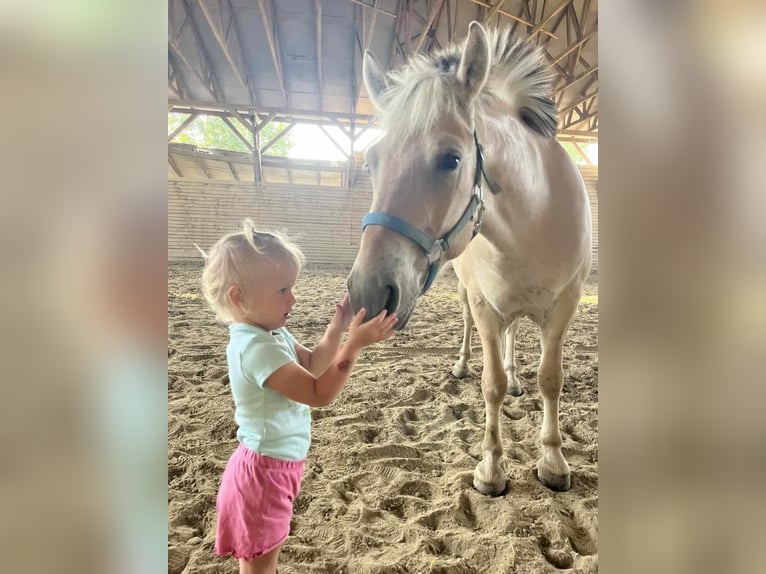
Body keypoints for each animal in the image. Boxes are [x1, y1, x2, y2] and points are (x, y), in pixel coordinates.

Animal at [347, 22, 592, 496]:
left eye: (451, 159)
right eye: (371, 161)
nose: (369, 292)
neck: (530, 220)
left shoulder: (564, 306)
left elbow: (550, 379)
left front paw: (553, 461)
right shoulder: (484, 306)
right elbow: (490, 383)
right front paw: (491, 468)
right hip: (467, 295)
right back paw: (463, 366)